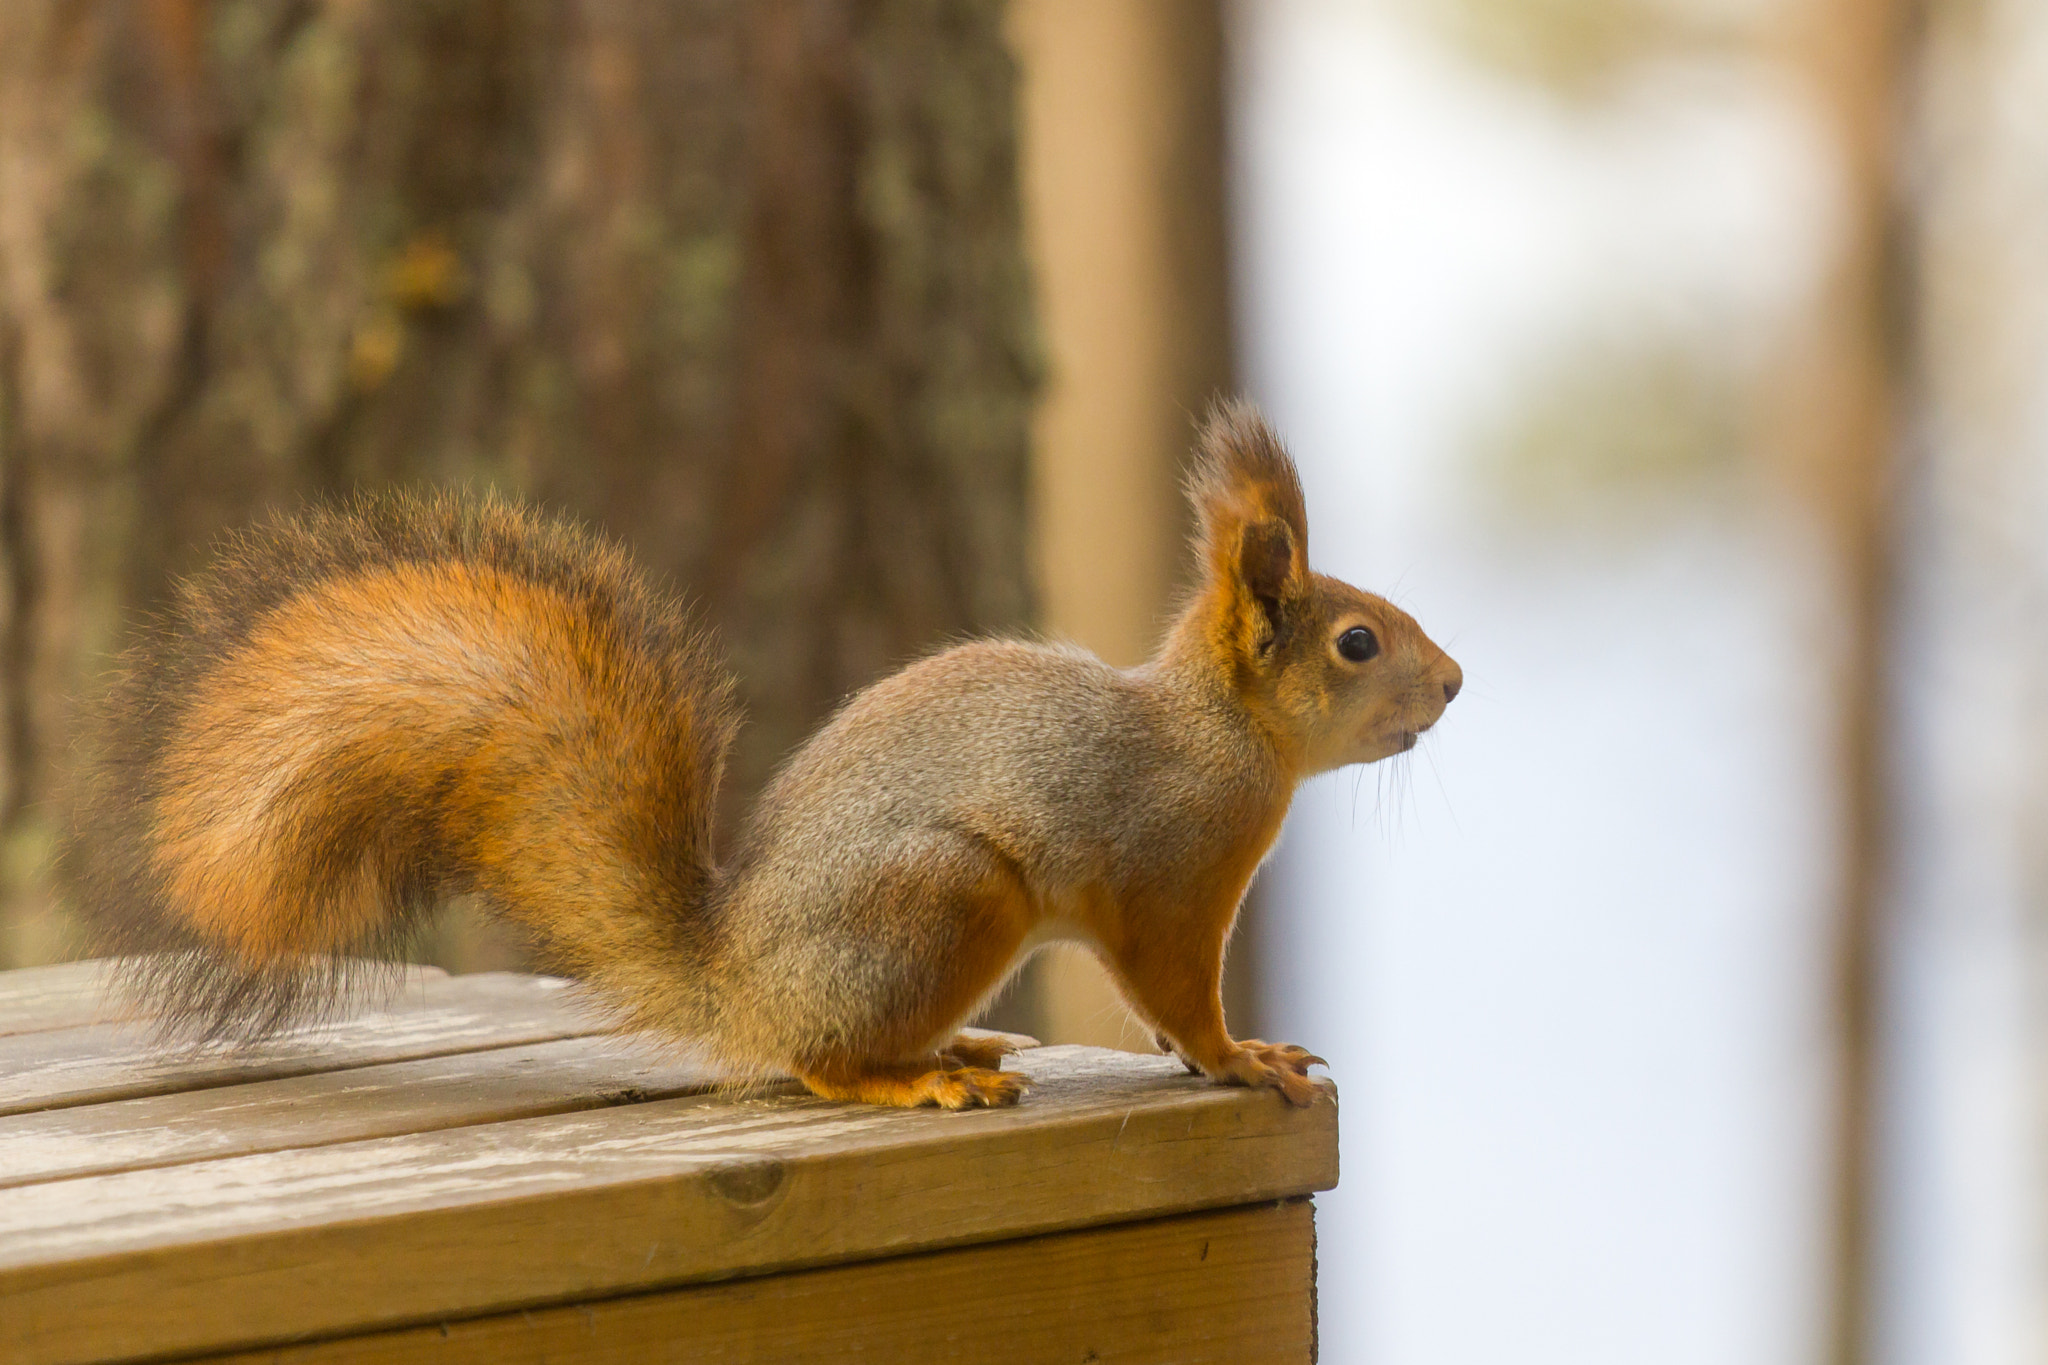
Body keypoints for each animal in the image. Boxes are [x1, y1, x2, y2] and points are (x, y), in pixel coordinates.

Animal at [59, 403, 1458, 1113]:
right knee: (817, 1063)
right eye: (1354, 642)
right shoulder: (1165, 876)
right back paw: (911, 1084)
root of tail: (735, 985)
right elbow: (1172, 992)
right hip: (945, 899)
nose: (1451, 684)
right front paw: (1239, 1057)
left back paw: (952, 1050)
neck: (1216, 732)